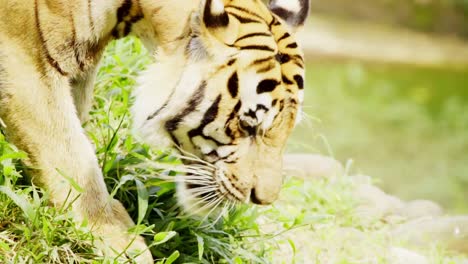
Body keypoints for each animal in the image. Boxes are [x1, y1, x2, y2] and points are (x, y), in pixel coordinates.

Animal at [0, 0, 308, 260]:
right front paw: (118, 241)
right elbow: (70, 156)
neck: (134, 14)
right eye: (247, 126)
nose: (264, 199)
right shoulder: (29, 62)